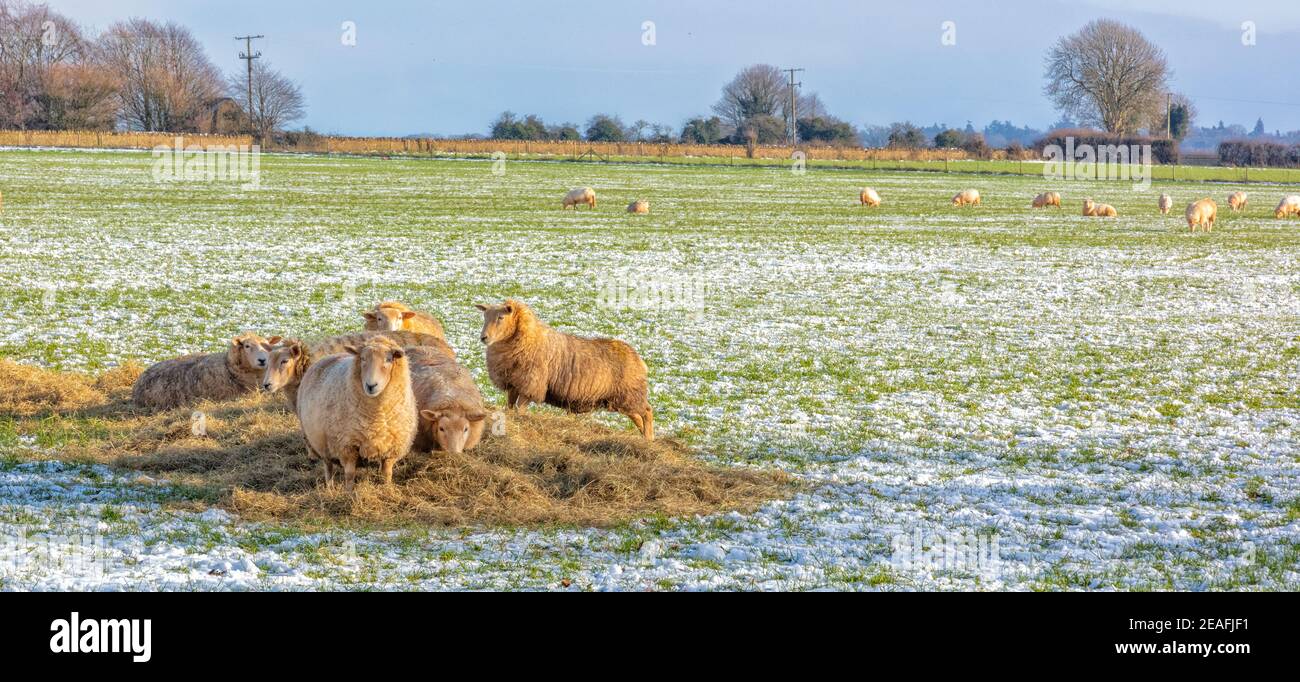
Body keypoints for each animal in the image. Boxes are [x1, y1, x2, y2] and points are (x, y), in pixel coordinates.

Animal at [295, 336, 418, 491]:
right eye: (363, 359)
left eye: (389, 359)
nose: (371, 386)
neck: (378, 416)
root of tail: (327, 357)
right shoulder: (347, 445)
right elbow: (349, 473)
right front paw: (349, 492)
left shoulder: (391, 448)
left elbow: (387, 473)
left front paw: (387, 489)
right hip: (322, 442)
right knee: (328, 467)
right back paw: (330, 487)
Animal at [477, 299, 654, 440]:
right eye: (484, 317)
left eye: (501, 317)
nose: (483, 337)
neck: (529, 338)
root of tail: (639, 359)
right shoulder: (514, 384)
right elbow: (510, 408)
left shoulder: (531, 386)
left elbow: (520, 410)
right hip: (620, 399)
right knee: (638, 418)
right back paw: (644, 438)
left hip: (630, 395)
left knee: (647, 412)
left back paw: (649, 438)